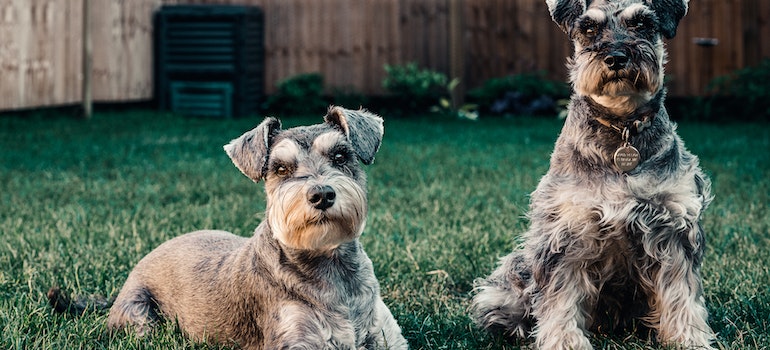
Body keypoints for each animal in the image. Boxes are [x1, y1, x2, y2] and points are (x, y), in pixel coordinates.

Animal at [49, 106, 408, 350]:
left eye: (340, 155)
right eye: (280, 168)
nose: (321, 195)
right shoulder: (297, 339)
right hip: (140, 319)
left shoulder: (385, 336)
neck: (329, 264)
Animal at [472, 0, 712, 350]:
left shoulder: (673, 227)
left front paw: (689, 338)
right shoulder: (567, 232)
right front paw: (565, 342)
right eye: (588, 28)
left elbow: (682, 293)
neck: (622, 127)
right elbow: (561, 297)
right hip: (516, 270)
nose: (616, 57)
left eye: (642, 24)